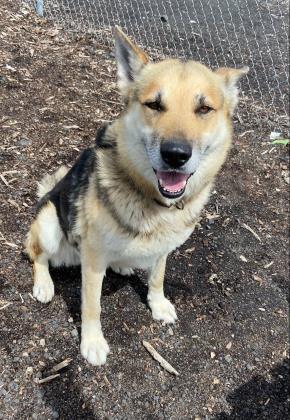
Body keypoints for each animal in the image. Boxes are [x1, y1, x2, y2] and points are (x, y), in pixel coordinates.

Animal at [24, 27, 248, 366]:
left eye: (204, 109)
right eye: (154, 105)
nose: (176, 155)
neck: (153, 201)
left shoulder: (163, 249)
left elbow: (157, 277)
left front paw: (158, 304)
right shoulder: (93, 262)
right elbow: (92, 305)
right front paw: (92, 342)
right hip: (50, 223)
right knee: (38, 254)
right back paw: (44, 284)